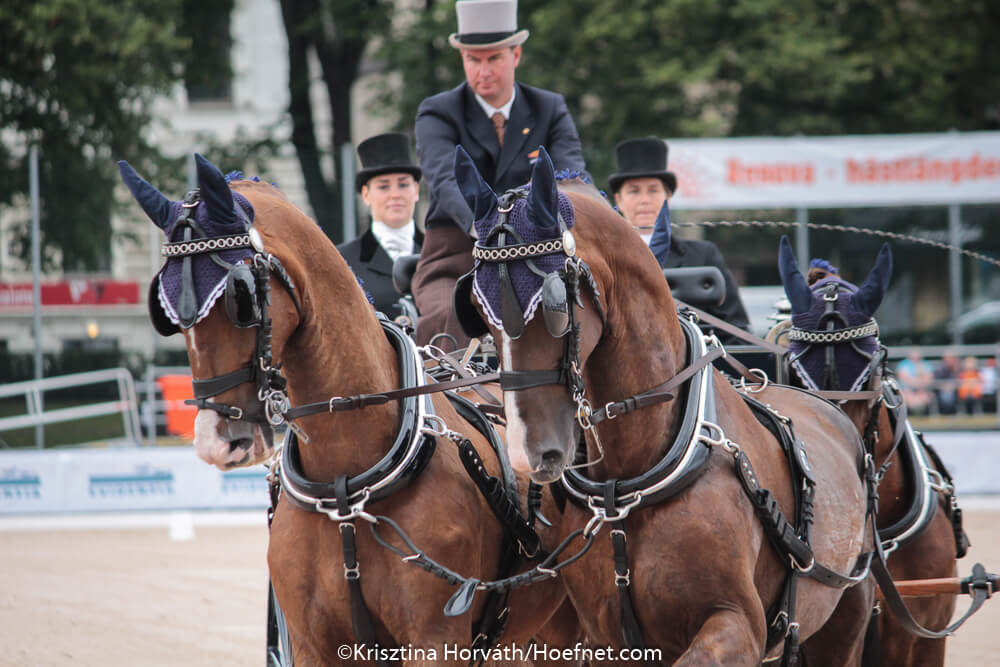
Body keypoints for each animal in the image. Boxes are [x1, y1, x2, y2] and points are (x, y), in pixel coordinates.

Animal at [119, 154, 578, 666]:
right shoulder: (312, 643)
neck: (346, 481)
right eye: (165, 309)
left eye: (240, 296)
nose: (217, 440)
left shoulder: (435, 640)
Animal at [452, 145, 880, 666]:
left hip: (846, 616)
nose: (526, 452)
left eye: (555, 306)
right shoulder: (604, 638)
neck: (635, 470)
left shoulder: (737, 625)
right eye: (476, 308)